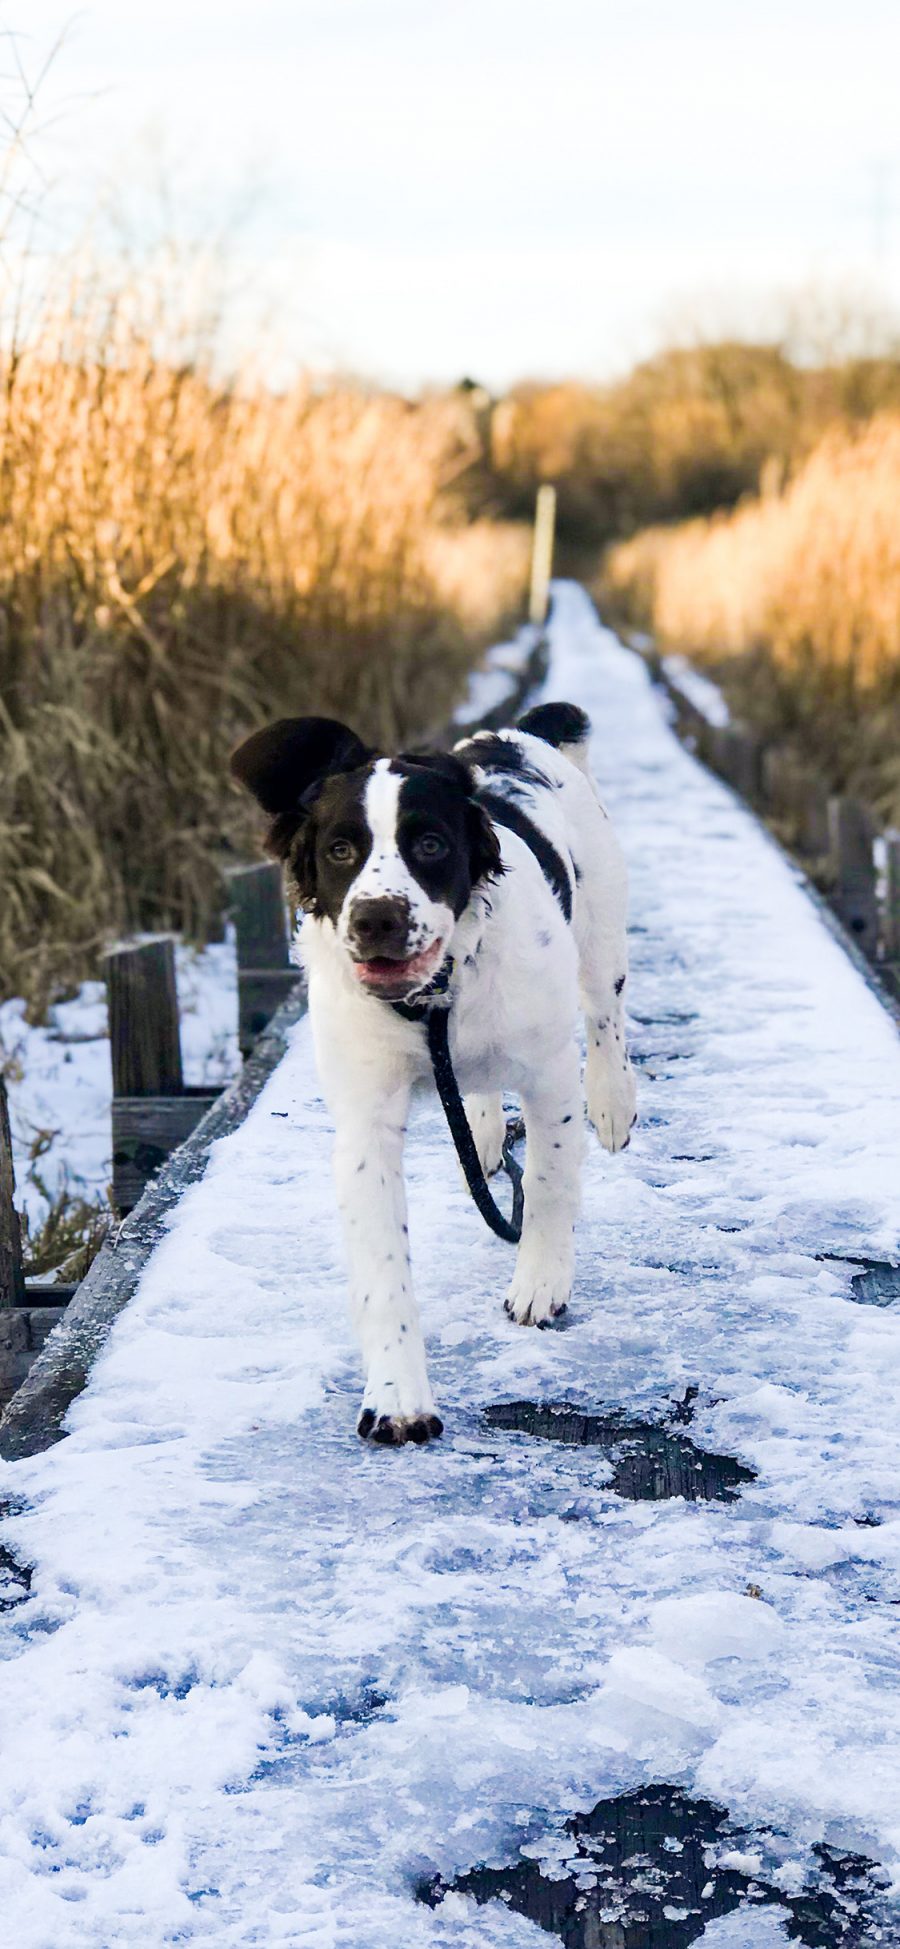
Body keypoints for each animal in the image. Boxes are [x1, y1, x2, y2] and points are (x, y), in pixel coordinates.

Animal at [231, 709, 638, 1442]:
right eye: (340, 850)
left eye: (429, 843)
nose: (377, 918)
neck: (435, 1000)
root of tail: (514, 732)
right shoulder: (364, 1126)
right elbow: (384, 1272)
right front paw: (397, 1396)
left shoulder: (549, 1081)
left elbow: (550, 1183)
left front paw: (540, 1283)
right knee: (480, 1085)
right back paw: (480, 1132)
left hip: (600, 935)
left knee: (605, 1014)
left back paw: (614, 1101)